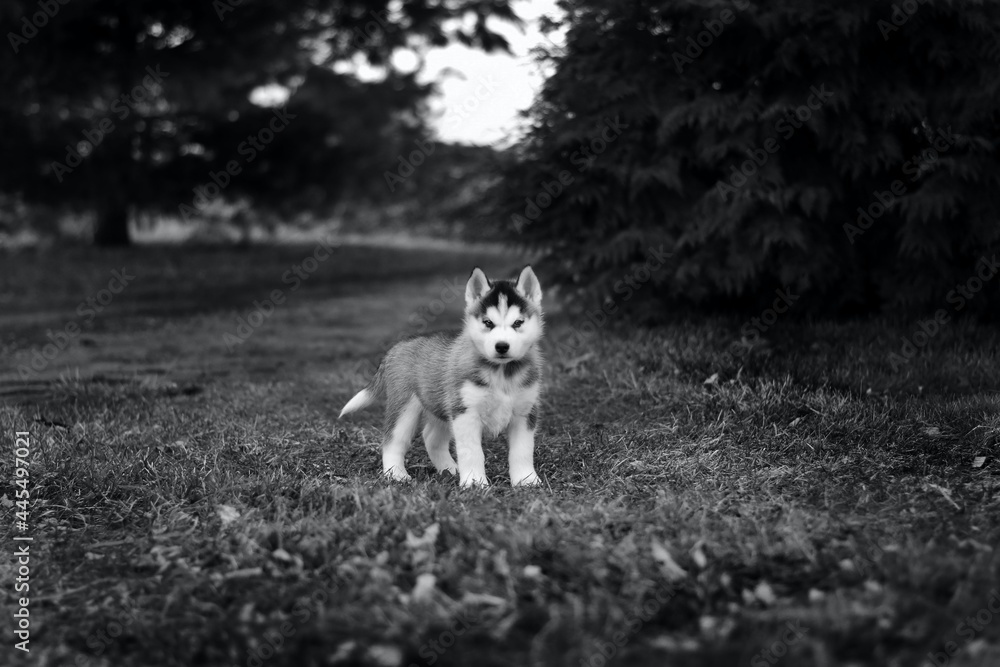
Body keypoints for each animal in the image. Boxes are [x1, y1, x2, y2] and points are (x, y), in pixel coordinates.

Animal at [339, 266, 544, 487]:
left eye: (518, 323)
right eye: (488, 323)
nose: (502, 346)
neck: (502, 372)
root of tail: (397, 346)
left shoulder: (525, 413)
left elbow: (522, 451)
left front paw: (526, 480)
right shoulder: (465, 412)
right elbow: (472, 452)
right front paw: (475, 482)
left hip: (440, 405)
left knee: (430, 437)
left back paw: (449, 469)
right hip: (405, 406)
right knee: (392, 440)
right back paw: (396, 474)